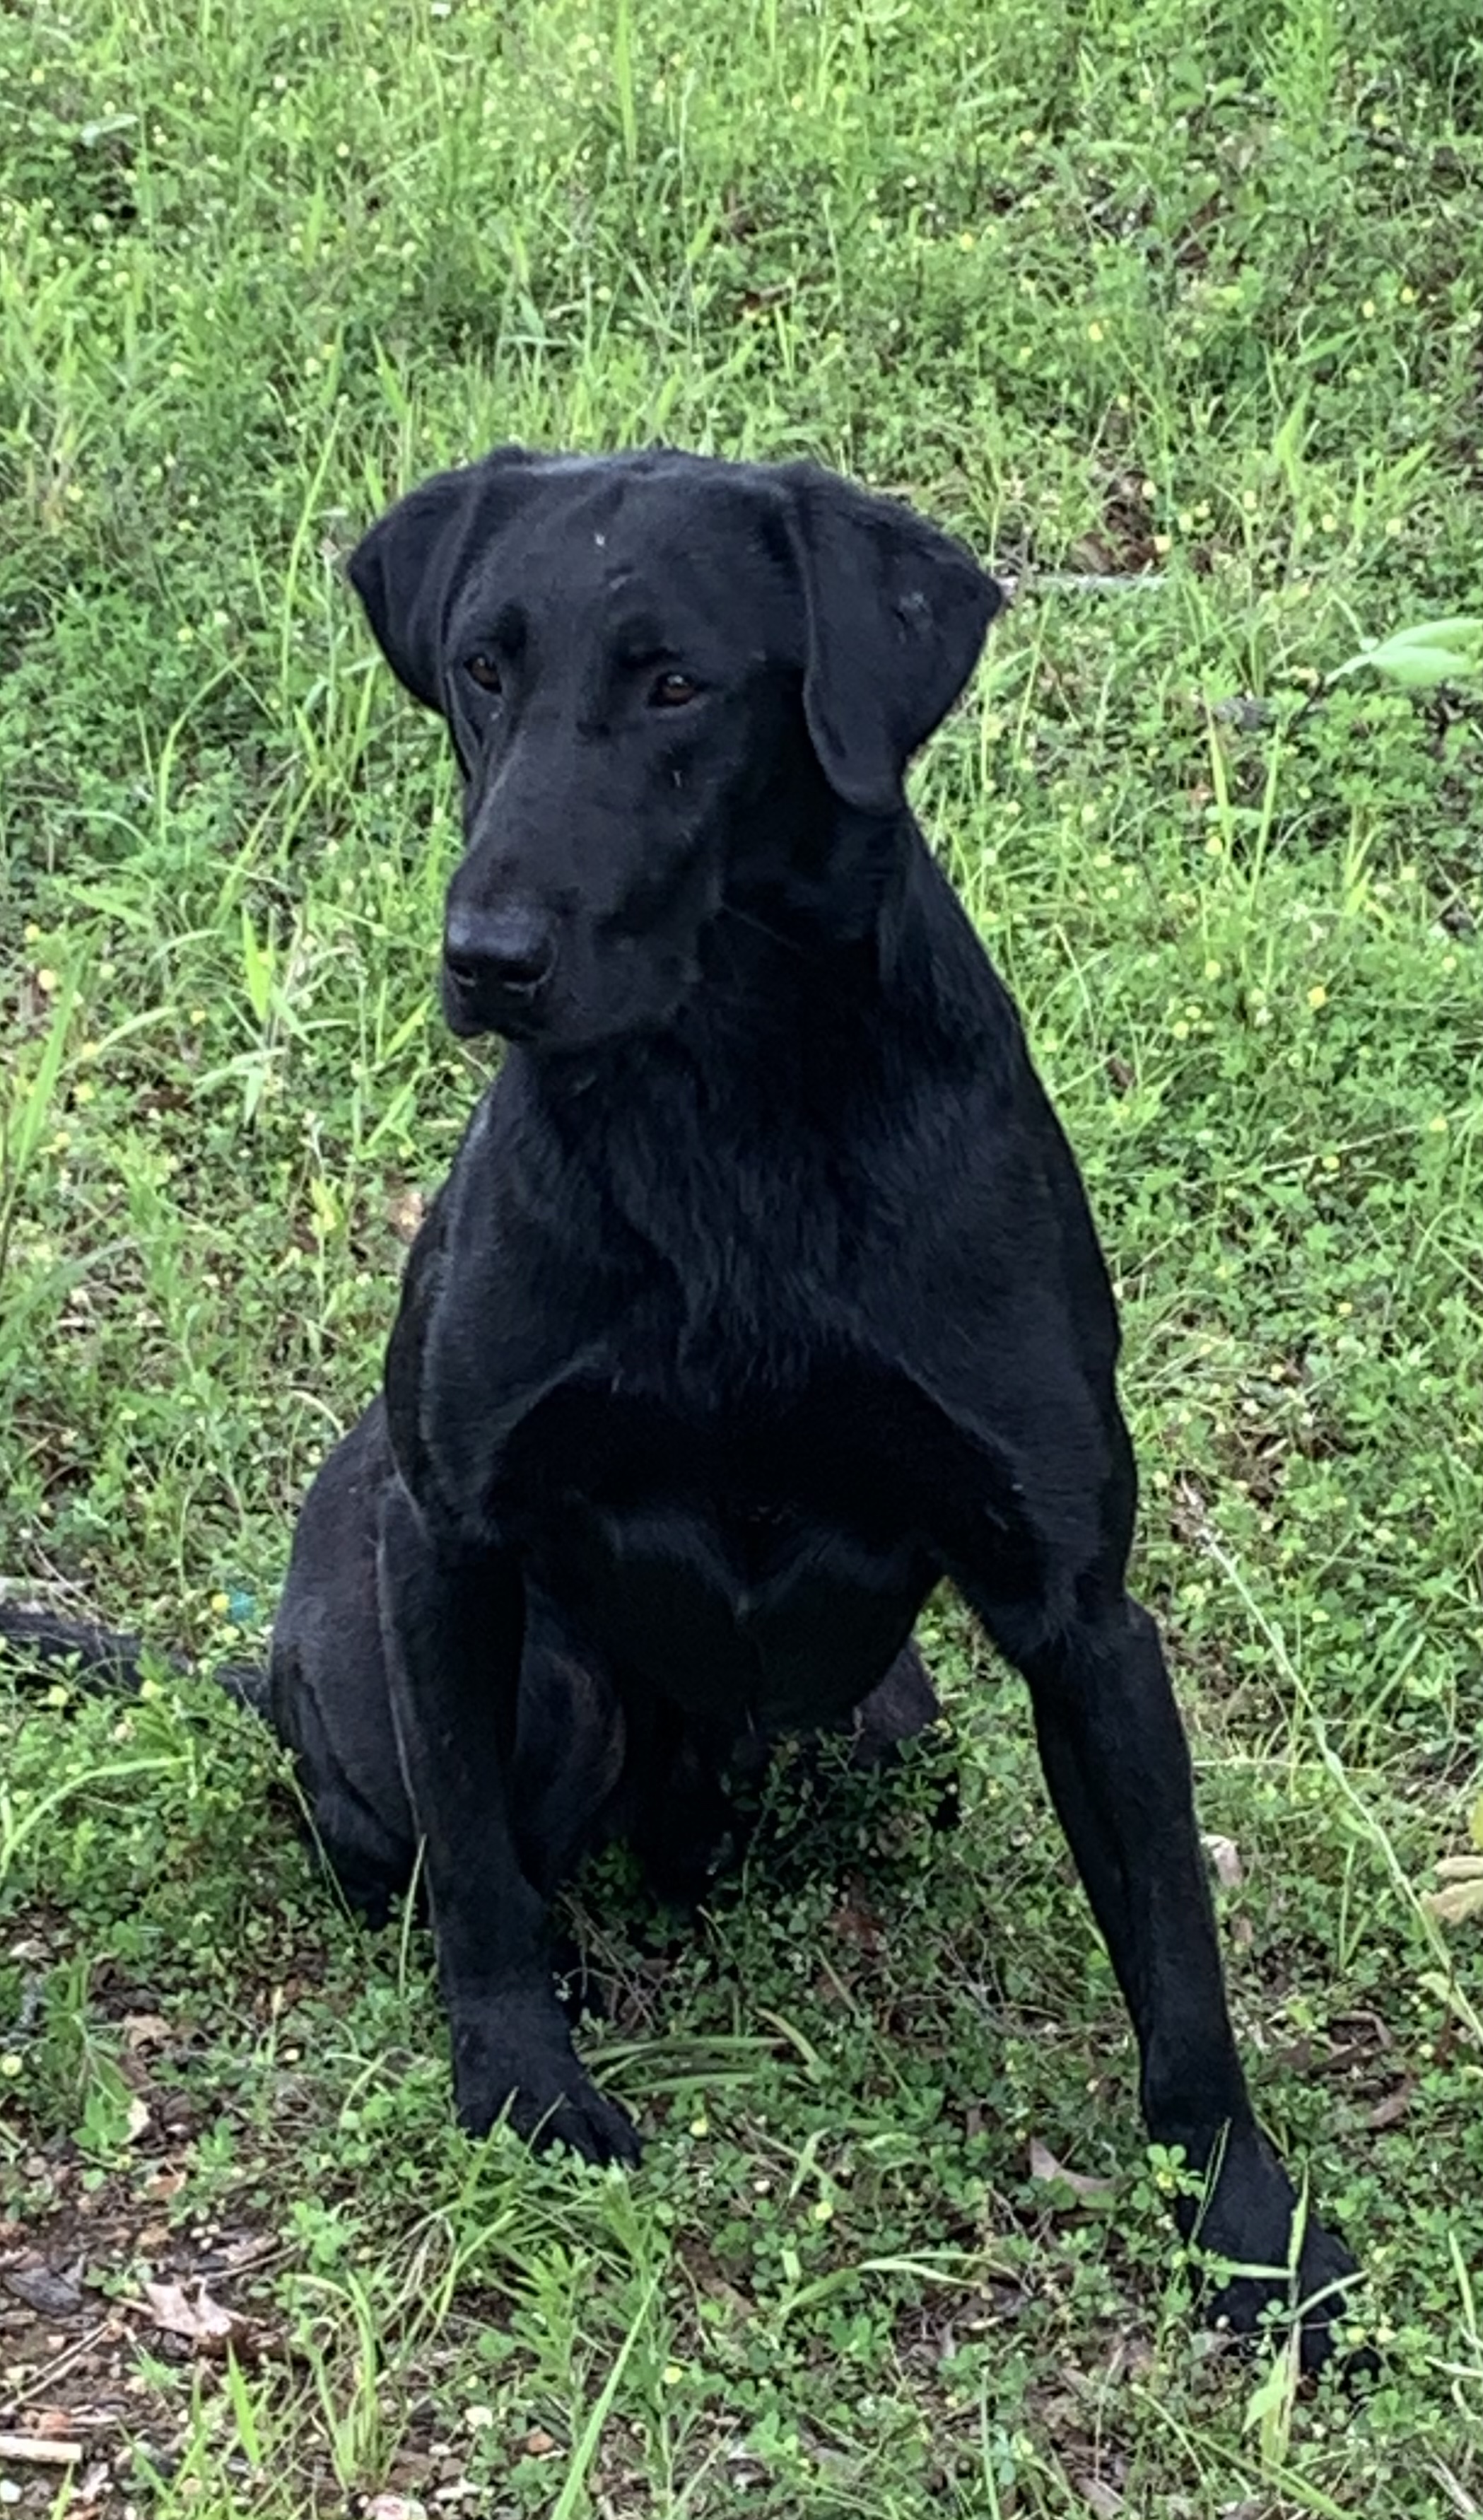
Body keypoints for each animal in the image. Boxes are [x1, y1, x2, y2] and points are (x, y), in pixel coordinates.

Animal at [3, 448, 1369, 2358]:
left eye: (675, 685)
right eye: (483, 667)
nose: (484, 954)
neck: (727, 1105)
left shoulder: (1078, 1612)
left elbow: (1177, 1965)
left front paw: (1248, 2233)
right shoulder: (450, 1529)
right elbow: (477, 1879)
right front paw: (521, 2091)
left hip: (889, 1725)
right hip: (534, 1680)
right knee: (407, 1842)